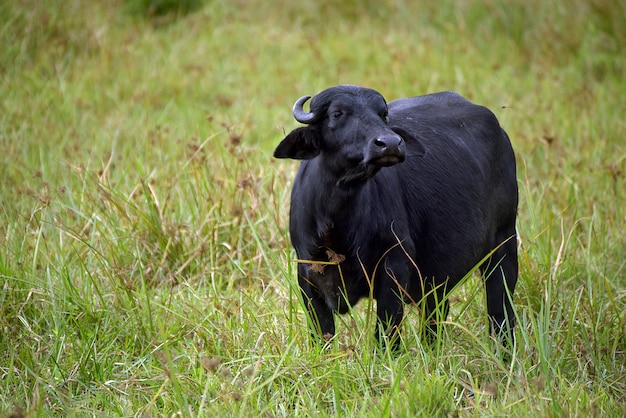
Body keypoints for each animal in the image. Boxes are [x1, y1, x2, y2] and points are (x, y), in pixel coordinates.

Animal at [272, 85, 516, 350]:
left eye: (383, 114)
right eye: (337, 113)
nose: (390, 144)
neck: (336, 225)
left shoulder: (395, 267)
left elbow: (386, 333)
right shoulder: (307, 274)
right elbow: (322, 335)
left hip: (504, 242)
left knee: (501, 310)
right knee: (436, 313)